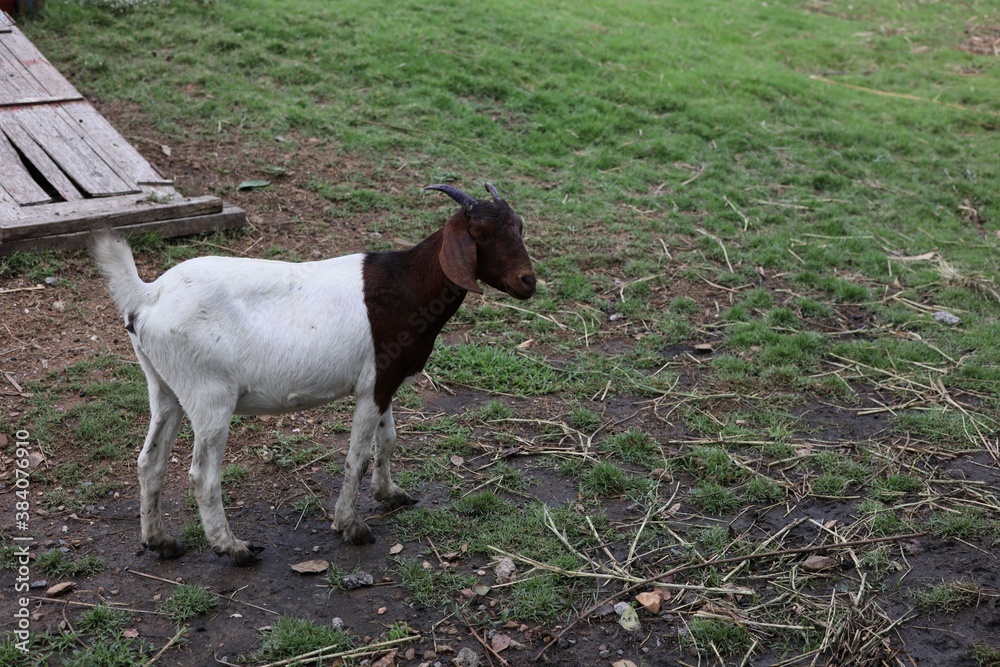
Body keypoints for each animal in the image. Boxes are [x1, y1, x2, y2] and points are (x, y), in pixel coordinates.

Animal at [90, 184, 536, 568]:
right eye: (480, 234)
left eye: (519, 226)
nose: (527, 281)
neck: (407, 286)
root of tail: (147, 295)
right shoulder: (373, 385)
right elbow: (357, 455)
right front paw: (351, 526)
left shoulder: (385, 379)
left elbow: (388, 439)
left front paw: (390, 494)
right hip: (209, 395)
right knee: (203, 475)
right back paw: (233, 548)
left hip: (165, 387)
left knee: (150, 461)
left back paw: (160, 541)